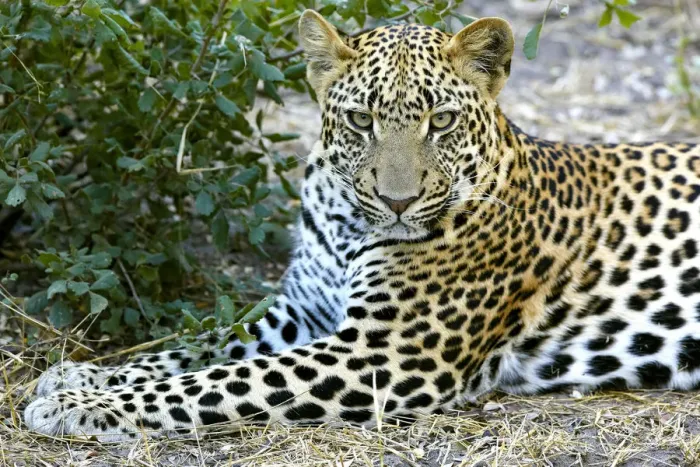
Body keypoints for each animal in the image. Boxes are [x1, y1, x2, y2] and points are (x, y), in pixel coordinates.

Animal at [24, 10, 700, 441]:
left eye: (441, 120)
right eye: (359, 120)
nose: (398, 202)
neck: (347, 224)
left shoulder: (385, 352)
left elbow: (213, 382)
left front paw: (78, 403)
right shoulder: (300, 311)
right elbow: (198, 347)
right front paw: (79, 374)